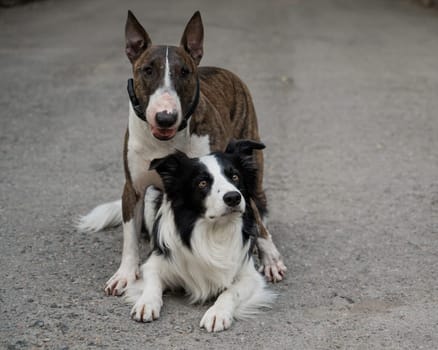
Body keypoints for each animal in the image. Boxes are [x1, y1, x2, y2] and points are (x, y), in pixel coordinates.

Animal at [124, 139, 274, 330]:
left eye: (235, 177)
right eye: (202, 183)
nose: (233, 197)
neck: (215, 230)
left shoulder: (250, 276)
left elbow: (231, 292)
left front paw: (217, 313)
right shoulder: (154, 263)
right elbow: (153, 283)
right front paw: (146, 303)